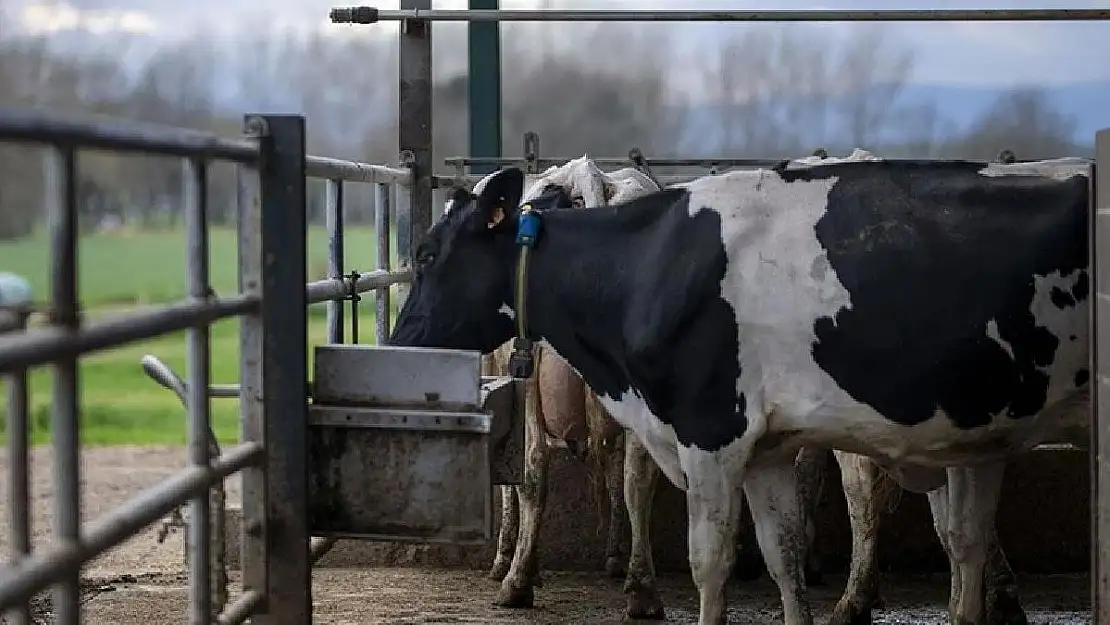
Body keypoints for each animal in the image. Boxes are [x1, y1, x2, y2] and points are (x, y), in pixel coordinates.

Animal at [392, 156, 1092, 625]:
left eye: (425, 255)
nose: (400, 345)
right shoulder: (768, 450)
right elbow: (782, 555)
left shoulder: (711, 434)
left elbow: (710, 560)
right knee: (960, 540)